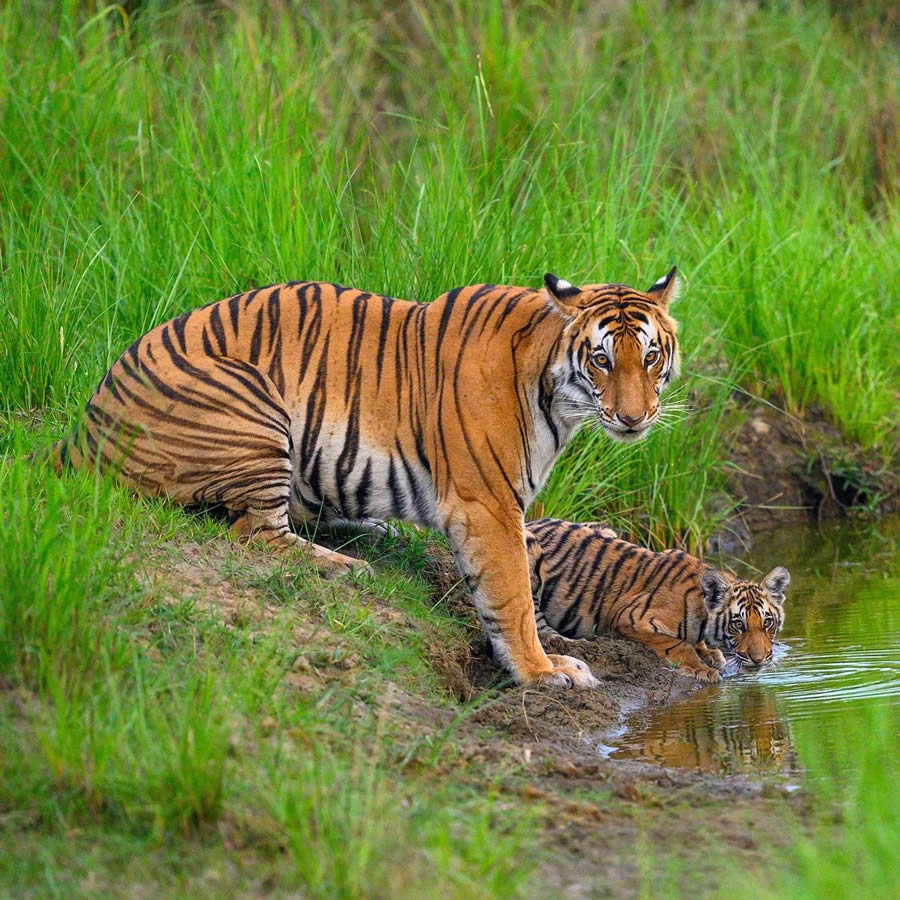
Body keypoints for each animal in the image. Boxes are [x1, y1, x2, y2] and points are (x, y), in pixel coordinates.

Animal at [47, 270, 684, 684]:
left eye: (650, 356)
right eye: (601, 359)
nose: (635, 418)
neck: (557, 397)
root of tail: (84, 424)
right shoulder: (489, 504)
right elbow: (513, 597)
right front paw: (541, 670)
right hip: (254, 404)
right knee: (256, 533)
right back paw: (346, 566)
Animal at [524, 520, 792, 684]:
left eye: (767, 623)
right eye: (738, 625)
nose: (759, 659)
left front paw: (711, 654)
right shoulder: (630, 618)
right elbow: (677, 645)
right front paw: (702, 669)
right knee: (540, 629)